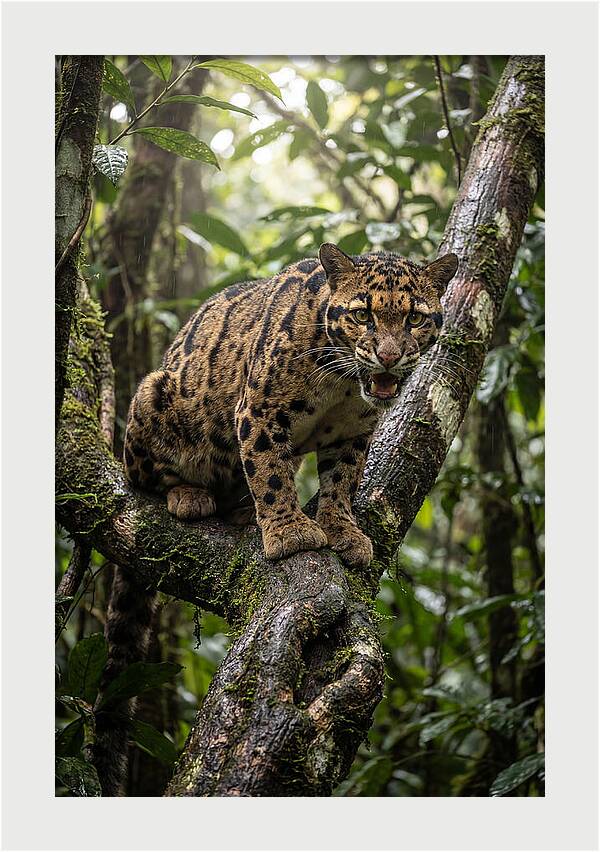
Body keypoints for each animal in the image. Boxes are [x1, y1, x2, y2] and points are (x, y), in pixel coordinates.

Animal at [123, 243, 458, 568]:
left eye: (414, 318)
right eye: (362, 316)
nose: (389, 357)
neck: (342, 383)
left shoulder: (353, 432)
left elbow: (342, 480)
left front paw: (342, 529)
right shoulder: (260, 411)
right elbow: (270, 472)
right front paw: (290, 531)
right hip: (153, 392)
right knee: (146, 479)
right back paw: (190, 495)